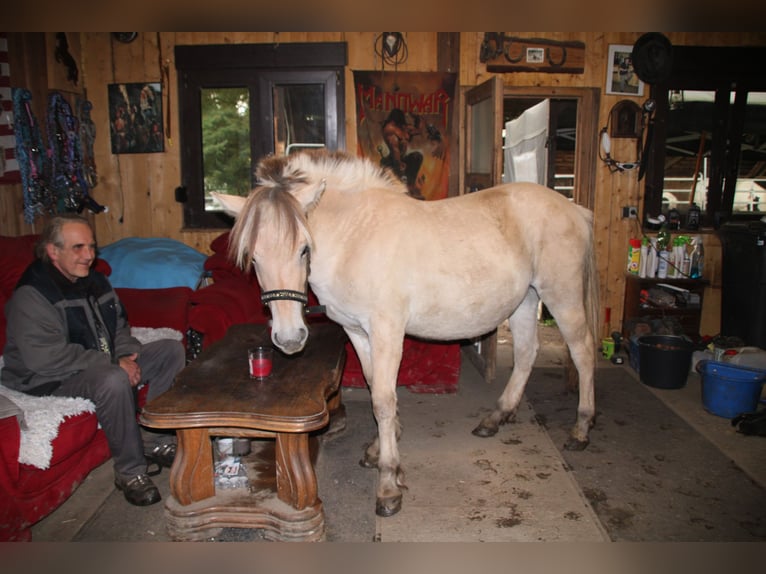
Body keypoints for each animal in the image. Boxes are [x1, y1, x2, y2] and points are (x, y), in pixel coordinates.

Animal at [214, 151, 600, 520]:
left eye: (304, 249)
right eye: (253, 257)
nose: (290, 338)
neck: (354, 237)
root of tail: (575, 210)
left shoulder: (387, 331)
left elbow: (384, 401)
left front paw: (388, 484)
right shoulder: (358, 331)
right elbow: (374, 387)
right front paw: (380, 449)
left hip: (561, 296)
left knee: (583, 353)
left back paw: (581, 429)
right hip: (526, 300)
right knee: (526, 354)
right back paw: (496, 418)